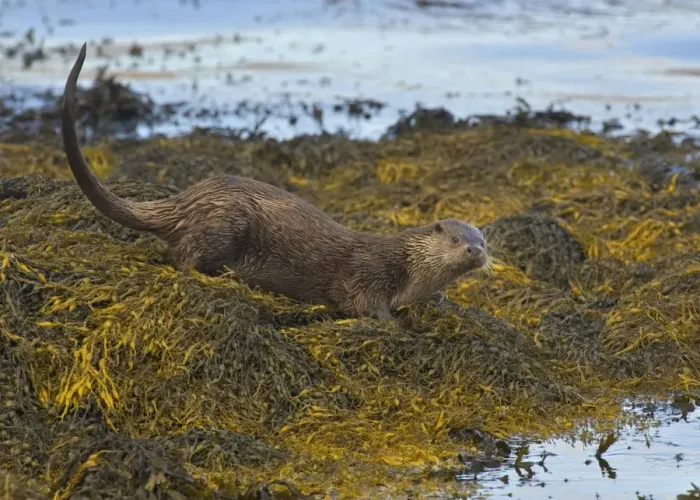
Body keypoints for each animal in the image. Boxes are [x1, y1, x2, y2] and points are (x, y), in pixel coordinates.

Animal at [61, 42, 488, 320]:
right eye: (455, 239)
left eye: (482, 240)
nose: (475, 251)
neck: (408, 268)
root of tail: (190, 199)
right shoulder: (367, 275)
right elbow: (362, 305)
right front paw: (395, 322)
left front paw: (440, 303)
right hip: (225, 223)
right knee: (184, 257)